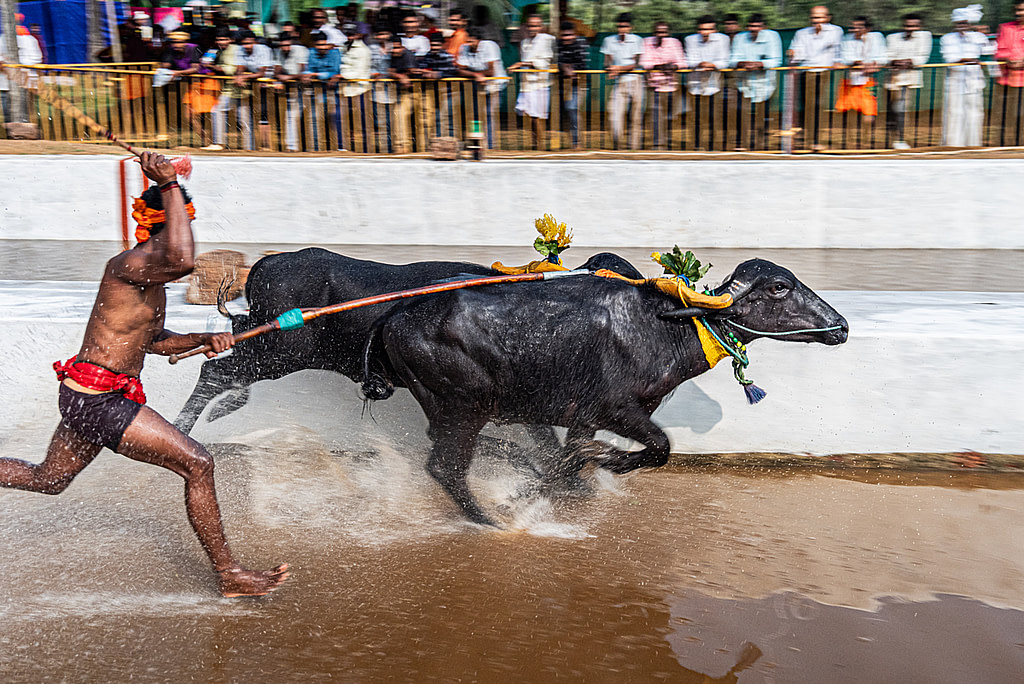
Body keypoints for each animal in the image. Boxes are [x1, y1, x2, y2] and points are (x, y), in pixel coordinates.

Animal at [365, 259, 849, 526]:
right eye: (779, 287)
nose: (841, 326)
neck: (663, 327)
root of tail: (393, 318)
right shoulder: (617, 411)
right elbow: (659, 447)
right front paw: (605, 461)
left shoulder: (586, 419)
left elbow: (567, 463)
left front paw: (549, 482)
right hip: (463, 407)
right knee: (445, 467)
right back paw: (490, 521)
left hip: (451, 409)